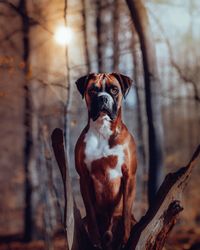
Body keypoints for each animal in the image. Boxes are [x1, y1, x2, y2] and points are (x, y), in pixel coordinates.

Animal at [74, 72, 137, 248]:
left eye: (114, 89)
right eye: (93, 90)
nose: (103, 97)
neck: (102, 130)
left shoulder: (129, 176)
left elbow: (126, 212)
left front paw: (125, 240)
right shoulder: (84, 178)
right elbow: (90, 212)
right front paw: (95, 240)